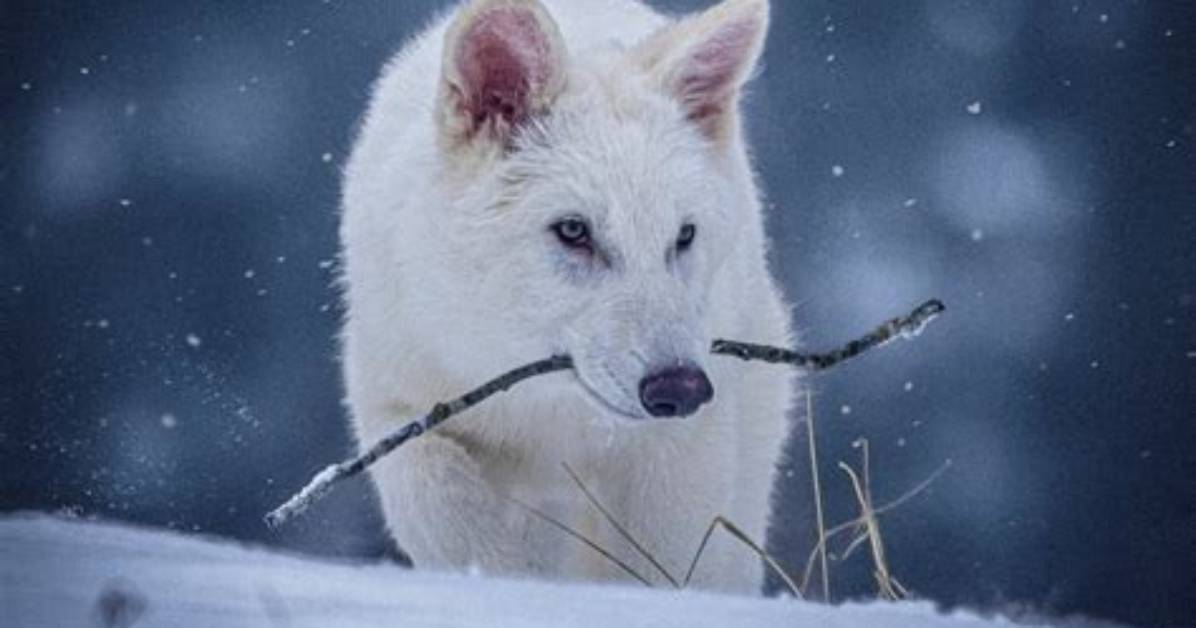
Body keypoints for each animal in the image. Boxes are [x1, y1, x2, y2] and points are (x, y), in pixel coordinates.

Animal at [339, 0, 796, 593]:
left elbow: (665, 566)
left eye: (683, 235)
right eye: (574, 231)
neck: (551, 410)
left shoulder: (679, 450)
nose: (680, 388)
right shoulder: (399, 406)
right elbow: (447, 510)